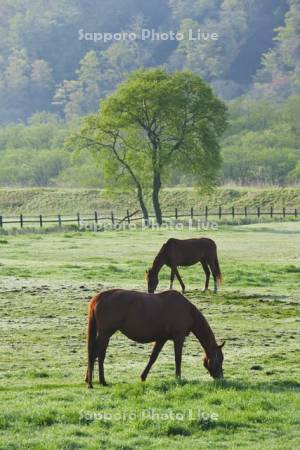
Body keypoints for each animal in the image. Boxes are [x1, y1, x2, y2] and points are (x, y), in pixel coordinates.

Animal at [85, 290, 224, 388]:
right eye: (220, 359)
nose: (221, 378)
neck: (187, 310)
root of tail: (98, 298)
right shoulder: (178, 337)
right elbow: (178, 359)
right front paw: (178, 378)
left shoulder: (162, 338)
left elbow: (153, 357)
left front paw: (143, 377)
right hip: (105, 333)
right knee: (95, 353)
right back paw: (93, 382)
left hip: (106, 335)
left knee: (99, 354)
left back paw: (96, 380)